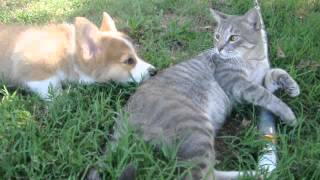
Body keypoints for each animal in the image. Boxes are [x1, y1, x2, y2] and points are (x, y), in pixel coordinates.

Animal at [0, 11, 156, 99]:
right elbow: (52, 86)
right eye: (129, 61)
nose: (154, 71)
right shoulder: (34, 71)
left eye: (136, 55)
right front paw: (63, 96)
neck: (69, 54)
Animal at [117, 8, 300, 179]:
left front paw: (292, 86)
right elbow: (266, 96)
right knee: (202, 174)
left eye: (233, 37)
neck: (252, 59)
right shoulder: (237, 83)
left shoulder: (260, 79)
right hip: (196, 128)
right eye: (217, 36)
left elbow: (275, 72)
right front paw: (288, 114)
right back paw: (254, 174)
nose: (219, 49)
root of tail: (124, 115)